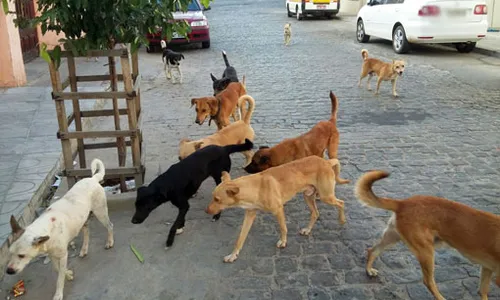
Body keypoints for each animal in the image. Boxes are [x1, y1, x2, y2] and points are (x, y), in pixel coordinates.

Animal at [5, 158, 114, 298]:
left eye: (22, 255)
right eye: (10, 253)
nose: (9, 271)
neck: (46, 228)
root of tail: (92, 178)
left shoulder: (63, 255)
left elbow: (59, 278)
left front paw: (58, 294)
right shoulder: (52, 254)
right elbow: (57, 269)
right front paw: (68, 273)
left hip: (100, 212)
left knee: (110, 226)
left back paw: (110, 242)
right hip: (81, 220)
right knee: (86, 231)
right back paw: (84, 249)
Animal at [207, 156, 348, 264]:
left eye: (217, 199)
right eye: (213, 197)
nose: (206, 211)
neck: (255, 187)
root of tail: (326, 162)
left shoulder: (278, 210)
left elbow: (283, 228)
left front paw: (283, 242)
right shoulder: (250, 214)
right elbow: (240, 238)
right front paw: (233, 255)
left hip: (326, 196)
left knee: (341, 203)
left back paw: (342, 220)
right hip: (308, 196)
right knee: (315, 213)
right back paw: (308, 230)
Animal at [356, 170, 500, 300]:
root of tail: (403, 203)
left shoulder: (487, 268)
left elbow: (483, 291)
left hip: (392, 237)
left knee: (372, 250)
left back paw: (369, 269)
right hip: (426, 252)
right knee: (428, 281)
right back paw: (441, 297)